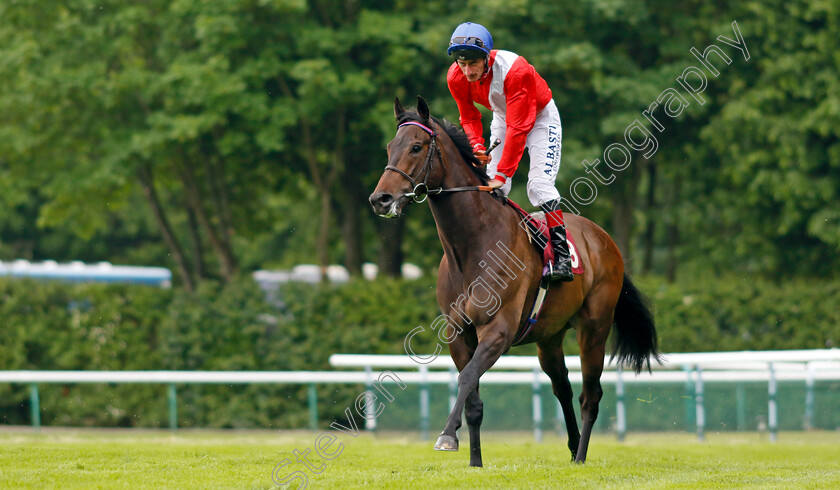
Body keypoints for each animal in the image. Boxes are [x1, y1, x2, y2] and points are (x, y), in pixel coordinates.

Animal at [370, 94, 660, 464]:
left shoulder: (498, 332)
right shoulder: (458, 334)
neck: (472, 246)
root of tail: (604, 239)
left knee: (590, 395)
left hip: (594, 328)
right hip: (549, 336)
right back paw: (571, 448)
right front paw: (475, 461)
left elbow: (467, 378)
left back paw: (581, 456)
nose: (380, 199)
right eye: (390, 147)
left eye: (417, 147)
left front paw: (447, 436)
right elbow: (473, 398)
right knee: (563, 388)